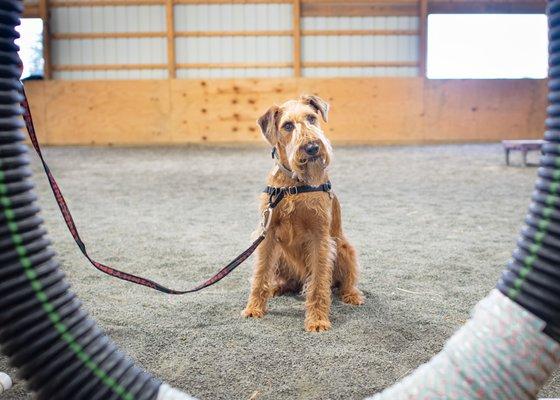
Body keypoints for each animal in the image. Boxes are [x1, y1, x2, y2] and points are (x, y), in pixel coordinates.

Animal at [243, 94, 366, 332]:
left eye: (311, 118)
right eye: (288, 126)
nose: (311, 147)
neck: (295, 183)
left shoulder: (320, 237)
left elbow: (318, 283)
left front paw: (317, 320)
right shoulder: (267, 234)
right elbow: (260, 273)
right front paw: (254, 308)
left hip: (344, 248)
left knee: (344, 281)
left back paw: (352, 295)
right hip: (281, 255)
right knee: (287, 280)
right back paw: (276, 288)